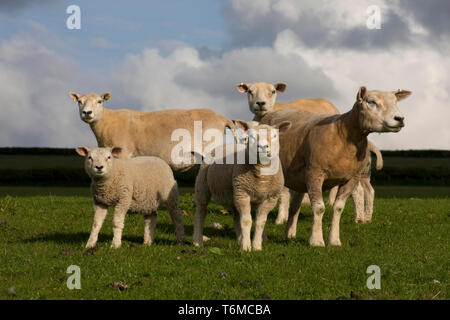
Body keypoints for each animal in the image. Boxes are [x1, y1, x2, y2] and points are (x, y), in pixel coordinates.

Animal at [68, 91, 237, 176]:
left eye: (100, 101)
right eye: (79, 102)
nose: (87, 113)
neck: (107, 121)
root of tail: (222, 118)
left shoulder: (123, 153)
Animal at [192, 119, 292, 250]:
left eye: (275, 136)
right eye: (251, 136)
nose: (263, 146)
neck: (261, 177)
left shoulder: (270, 198)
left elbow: (260, 223)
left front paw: (256, 246)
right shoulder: (243, 193)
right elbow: (246, 221)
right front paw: (246, 247)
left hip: (234, 194)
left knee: (236, 217)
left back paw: (240, 239)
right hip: (202, 185)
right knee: (201, 211)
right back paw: (197, 241)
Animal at [260, 86, 412, 246]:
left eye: (395, 101)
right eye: (371, 102)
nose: (400, 119)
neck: (343, 135)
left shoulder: (351, 178)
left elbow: (338, 208)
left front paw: (334, 240)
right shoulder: (314, 174)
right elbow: (319, 208)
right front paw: (316, 240)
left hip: (298, 177)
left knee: (295, 205)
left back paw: (289, 234)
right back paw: (264, 237)